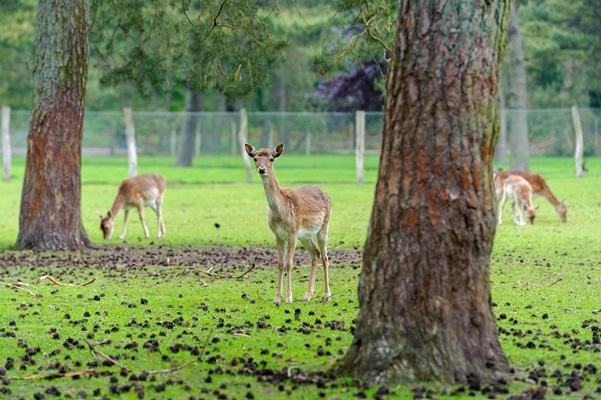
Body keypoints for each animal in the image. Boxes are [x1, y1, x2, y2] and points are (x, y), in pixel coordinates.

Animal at [243, 144, 330, 304]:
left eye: (271, 159)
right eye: (255, 158)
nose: (262, 169)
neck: (280, 212)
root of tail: (325, 193)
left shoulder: (292, 232)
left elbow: (289, 263)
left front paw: (289, 298)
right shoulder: (278, 235)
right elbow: (280, 264)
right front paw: (277, 297)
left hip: (323, 226)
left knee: (325, 257)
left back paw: (326, 296)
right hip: (305, 236)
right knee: (315, 253)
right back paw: (307, 295)